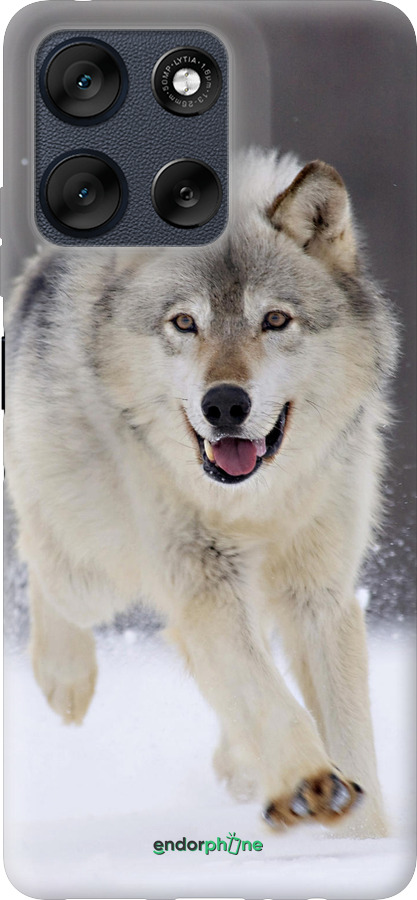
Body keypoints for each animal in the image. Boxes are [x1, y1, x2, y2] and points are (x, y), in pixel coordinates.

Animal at [5, 149, 398, 837]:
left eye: (275, 320)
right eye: (185, 323)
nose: (225, 404)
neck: (256, 503)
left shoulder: (319, 594)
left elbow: (347, 732)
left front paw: (362, 836)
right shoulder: (202, 580)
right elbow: (265, 695)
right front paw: (310, 783)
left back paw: (240, 766)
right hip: (94, 571)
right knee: (42, 563)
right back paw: (65, 680)